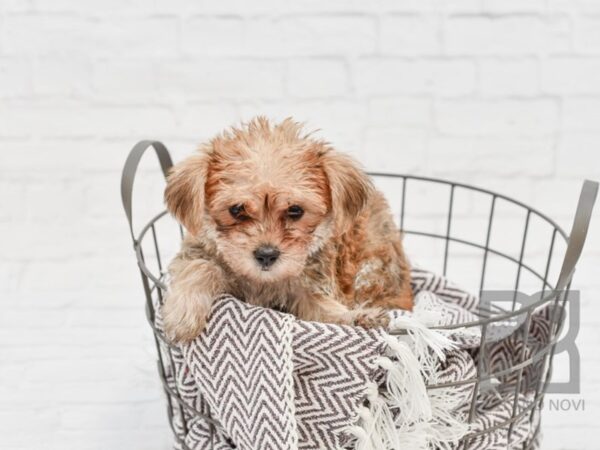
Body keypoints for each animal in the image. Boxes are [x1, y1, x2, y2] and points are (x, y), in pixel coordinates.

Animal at [164, 118, 412, 342]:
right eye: (236, 209)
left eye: (295, 210)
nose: (266, 255)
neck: (262, 282)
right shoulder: (196, 251)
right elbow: (201, 267)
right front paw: (183, 315)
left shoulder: (307, 287)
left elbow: (324, 310)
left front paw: (357, 317)